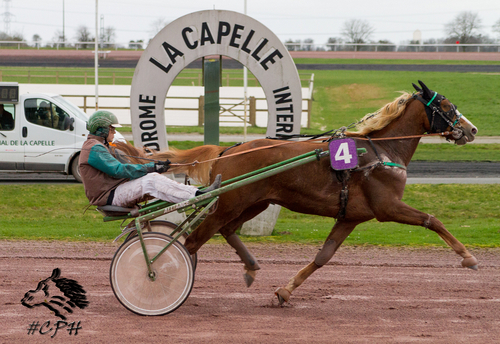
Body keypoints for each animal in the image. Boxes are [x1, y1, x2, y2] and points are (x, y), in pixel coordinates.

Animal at [116, 82, 476, 306]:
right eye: (447, 105)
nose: (471, 129)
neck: (380, 151)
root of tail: (227, 149)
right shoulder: (387, 206)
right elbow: (432, 219)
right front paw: (468, 257)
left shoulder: (351, 217)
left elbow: (323, 257)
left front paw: (284, 292)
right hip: (233, 201)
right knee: (191, 242)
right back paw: (162, 278)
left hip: (255, 202)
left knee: (225, 230)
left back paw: (250, 267)